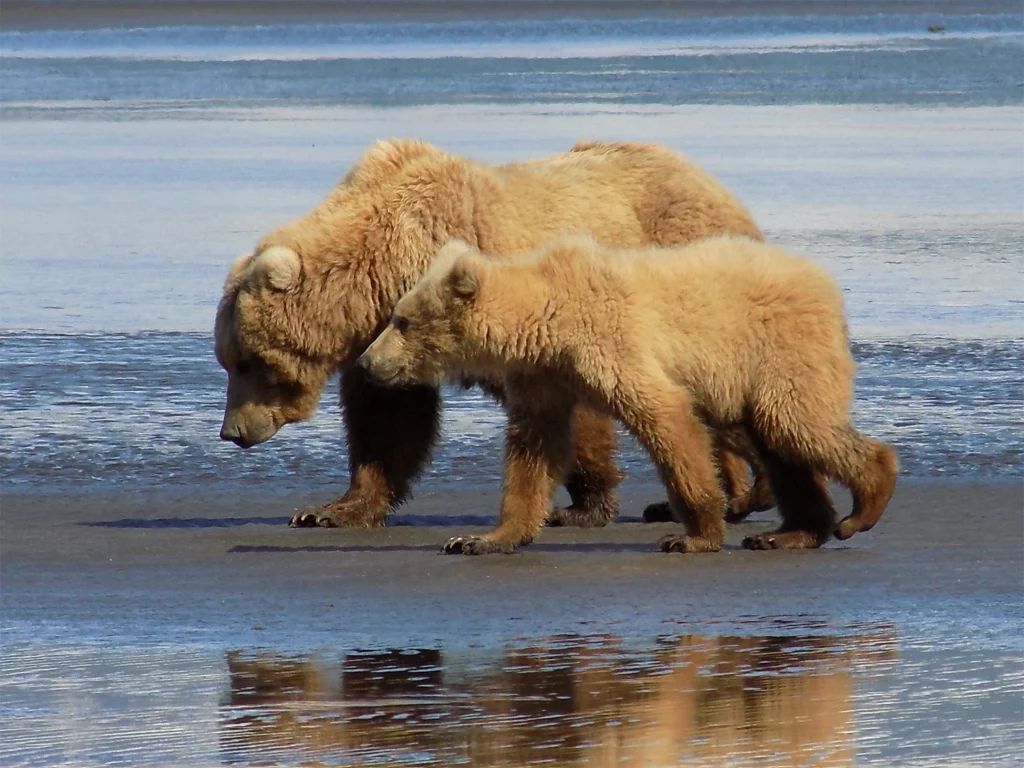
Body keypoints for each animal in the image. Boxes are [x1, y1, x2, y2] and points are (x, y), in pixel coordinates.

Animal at [214, 138, 770, 531]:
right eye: (228, 360)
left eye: (245, 361)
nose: (232, 432)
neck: (384, 267)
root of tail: (715, 185)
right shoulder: (386, 340)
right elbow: (386, 419)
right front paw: (332, 508)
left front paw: (581, 505)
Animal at [357, 235, 899, 555]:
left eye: (400, 321)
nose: (366, 361)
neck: (548, 316)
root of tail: (822, 280)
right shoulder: (544, 375)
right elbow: (533, 450)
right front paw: (484, 537)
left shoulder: (611, 341)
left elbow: (665, 417)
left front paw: (694, 533)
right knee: (780, 442)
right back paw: (790, 532)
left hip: (779, 349)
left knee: (795, 423)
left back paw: (864, 504)